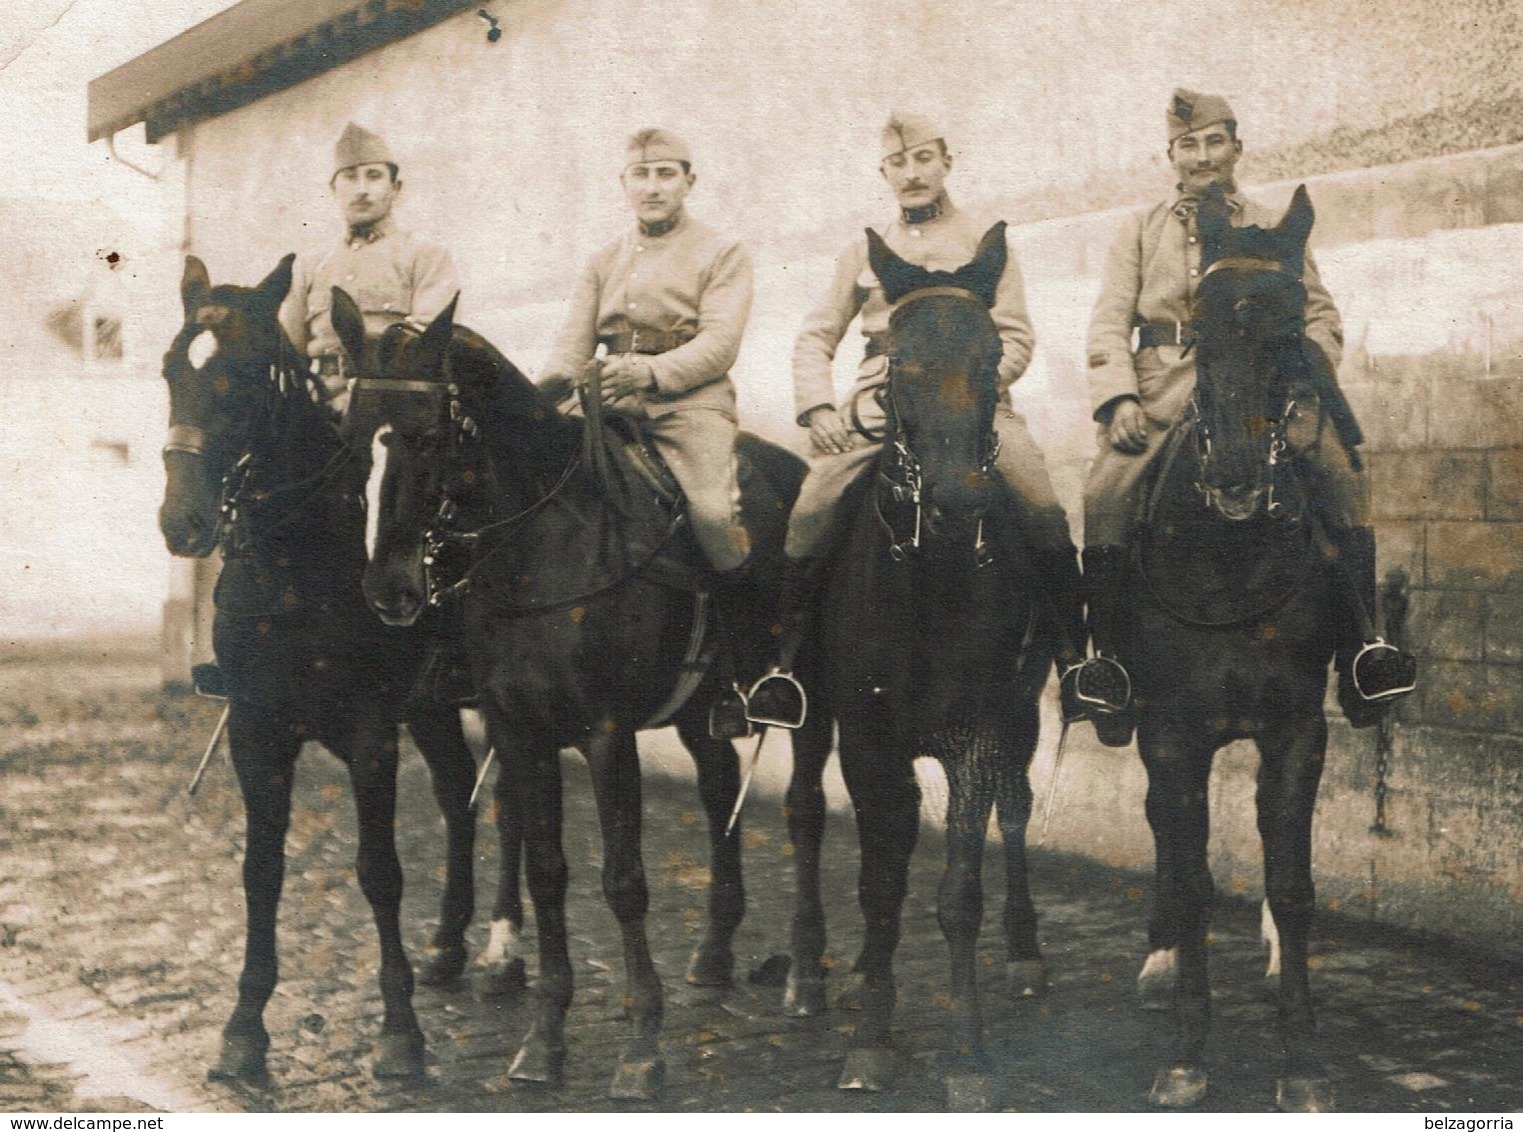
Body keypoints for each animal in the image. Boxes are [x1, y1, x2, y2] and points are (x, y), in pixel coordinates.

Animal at [157, 257, 478, 1078]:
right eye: (171, 370)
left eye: (242, 376)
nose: (182, 523)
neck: (295, 565)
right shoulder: (257, 732)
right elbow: (261, 870)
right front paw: (244, 1028)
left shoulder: (371, 732)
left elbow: (379, 869)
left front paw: (399, 1030)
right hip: (431, 705)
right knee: (459, 790)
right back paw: (451, 945)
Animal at [347, 292, 840, 1096]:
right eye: (357, 434)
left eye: (425, 433)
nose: (389, 589)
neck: (547, 547)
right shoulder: (521, 732)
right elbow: (547, 873)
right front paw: (544, 1038)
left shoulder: (606, 736)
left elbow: (623, 880)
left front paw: (641, 1046)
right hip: (700, 714)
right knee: (717, 790)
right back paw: (715, 949)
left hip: (815, 701)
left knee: (804, 810)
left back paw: (805, 975)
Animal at [810, 225, 1060, 1109]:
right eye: (893, 356)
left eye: (991, 358)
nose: (957, 499)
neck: (931, 577)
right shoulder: (867, 740)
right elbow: (879, 883)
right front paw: (870, 1037)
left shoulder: (978, 737)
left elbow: (958, 893)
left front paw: (969, 1054)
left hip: (1022, 716)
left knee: (1015, 813)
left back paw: (1024, 954)